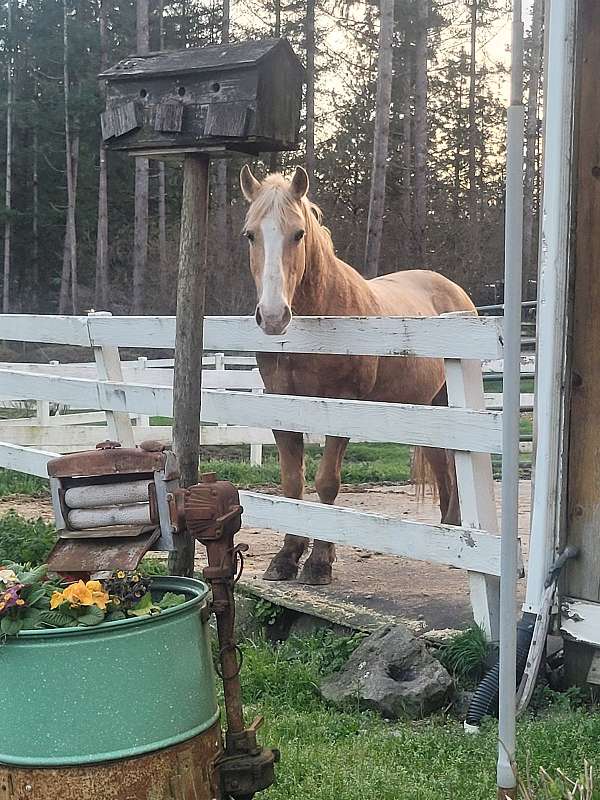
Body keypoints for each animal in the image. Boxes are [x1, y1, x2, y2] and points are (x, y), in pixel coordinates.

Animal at [241, 166, 476, 584]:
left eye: (298, 233)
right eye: (250, 234)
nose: (272, 317)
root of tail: (453, 291)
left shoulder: (343, 405)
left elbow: (327, 483)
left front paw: (319, 562)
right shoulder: (283, 408)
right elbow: (292, 483)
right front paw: (286, 556)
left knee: (450, 460)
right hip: (429, 407)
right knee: (439, 461)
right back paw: (446, 530)